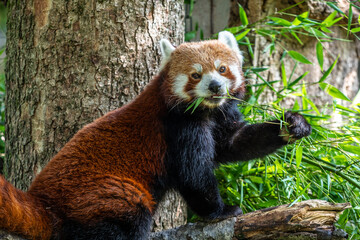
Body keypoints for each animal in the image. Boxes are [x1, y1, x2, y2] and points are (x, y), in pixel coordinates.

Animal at [0, 31, 310, 240]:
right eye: (196, 75)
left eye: (222, 69)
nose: (215, 86)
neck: (206, 112)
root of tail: (42, 200)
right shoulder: (179, 126)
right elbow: (194, 174)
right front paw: (220, 212)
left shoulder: (221, 116)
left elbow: (235, 144)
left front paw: (292, 125)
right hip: (105, 194)